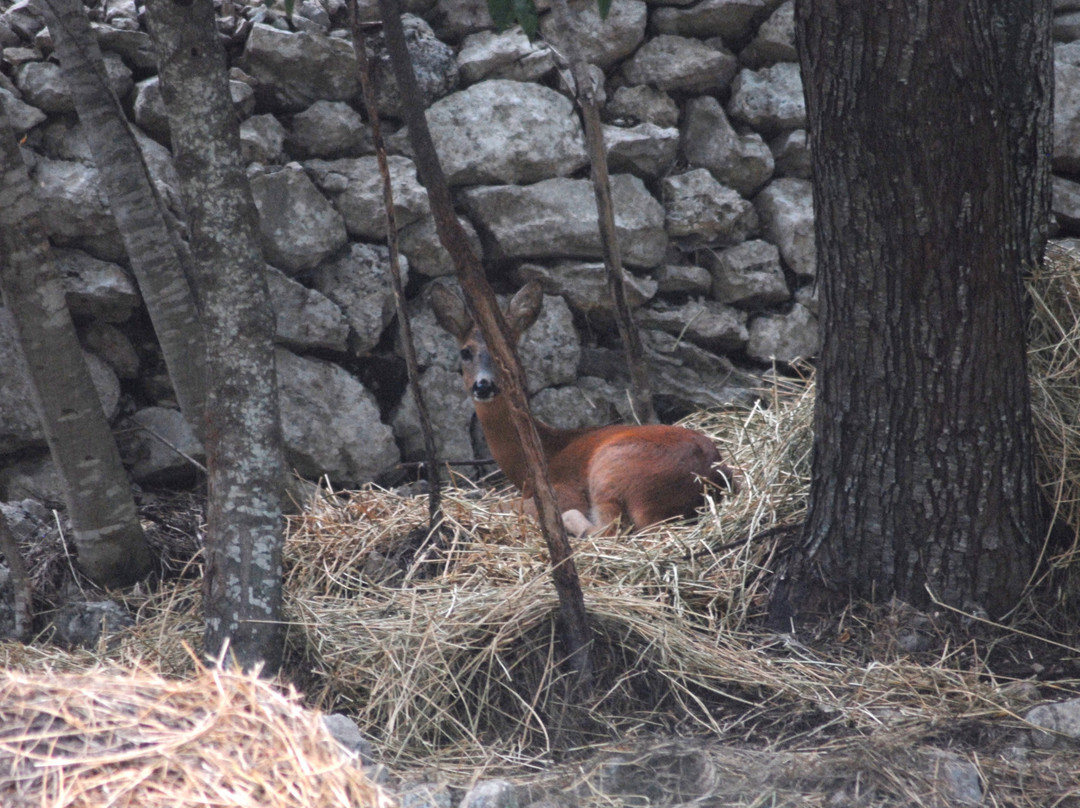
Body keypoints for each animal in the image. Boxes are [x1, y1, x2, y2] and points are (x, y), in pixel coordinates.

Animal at [427, 278, 734, 535]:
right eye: (465, 352)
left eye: (508, 352)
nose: (483, 385)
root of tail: (708, 477)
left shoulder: (563, 489)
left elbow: (506, 506)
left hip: (611, 467)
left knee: (608, 529)